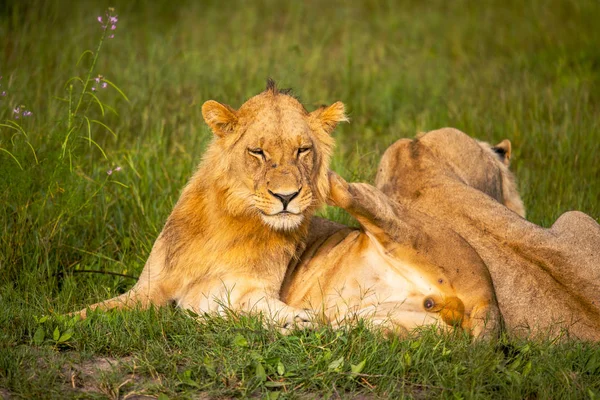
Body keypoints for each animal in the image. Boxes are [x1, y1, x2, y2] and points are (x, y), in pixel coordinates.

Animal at [74, 79, 346, 330]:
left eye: (302, 150)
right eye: (257, 152)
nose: (286, 196)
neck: (231, 220)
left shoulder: (243, 289)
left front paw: (297, 319)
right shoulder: (148, 287)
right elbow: (91, 311)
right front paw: (64, 320)